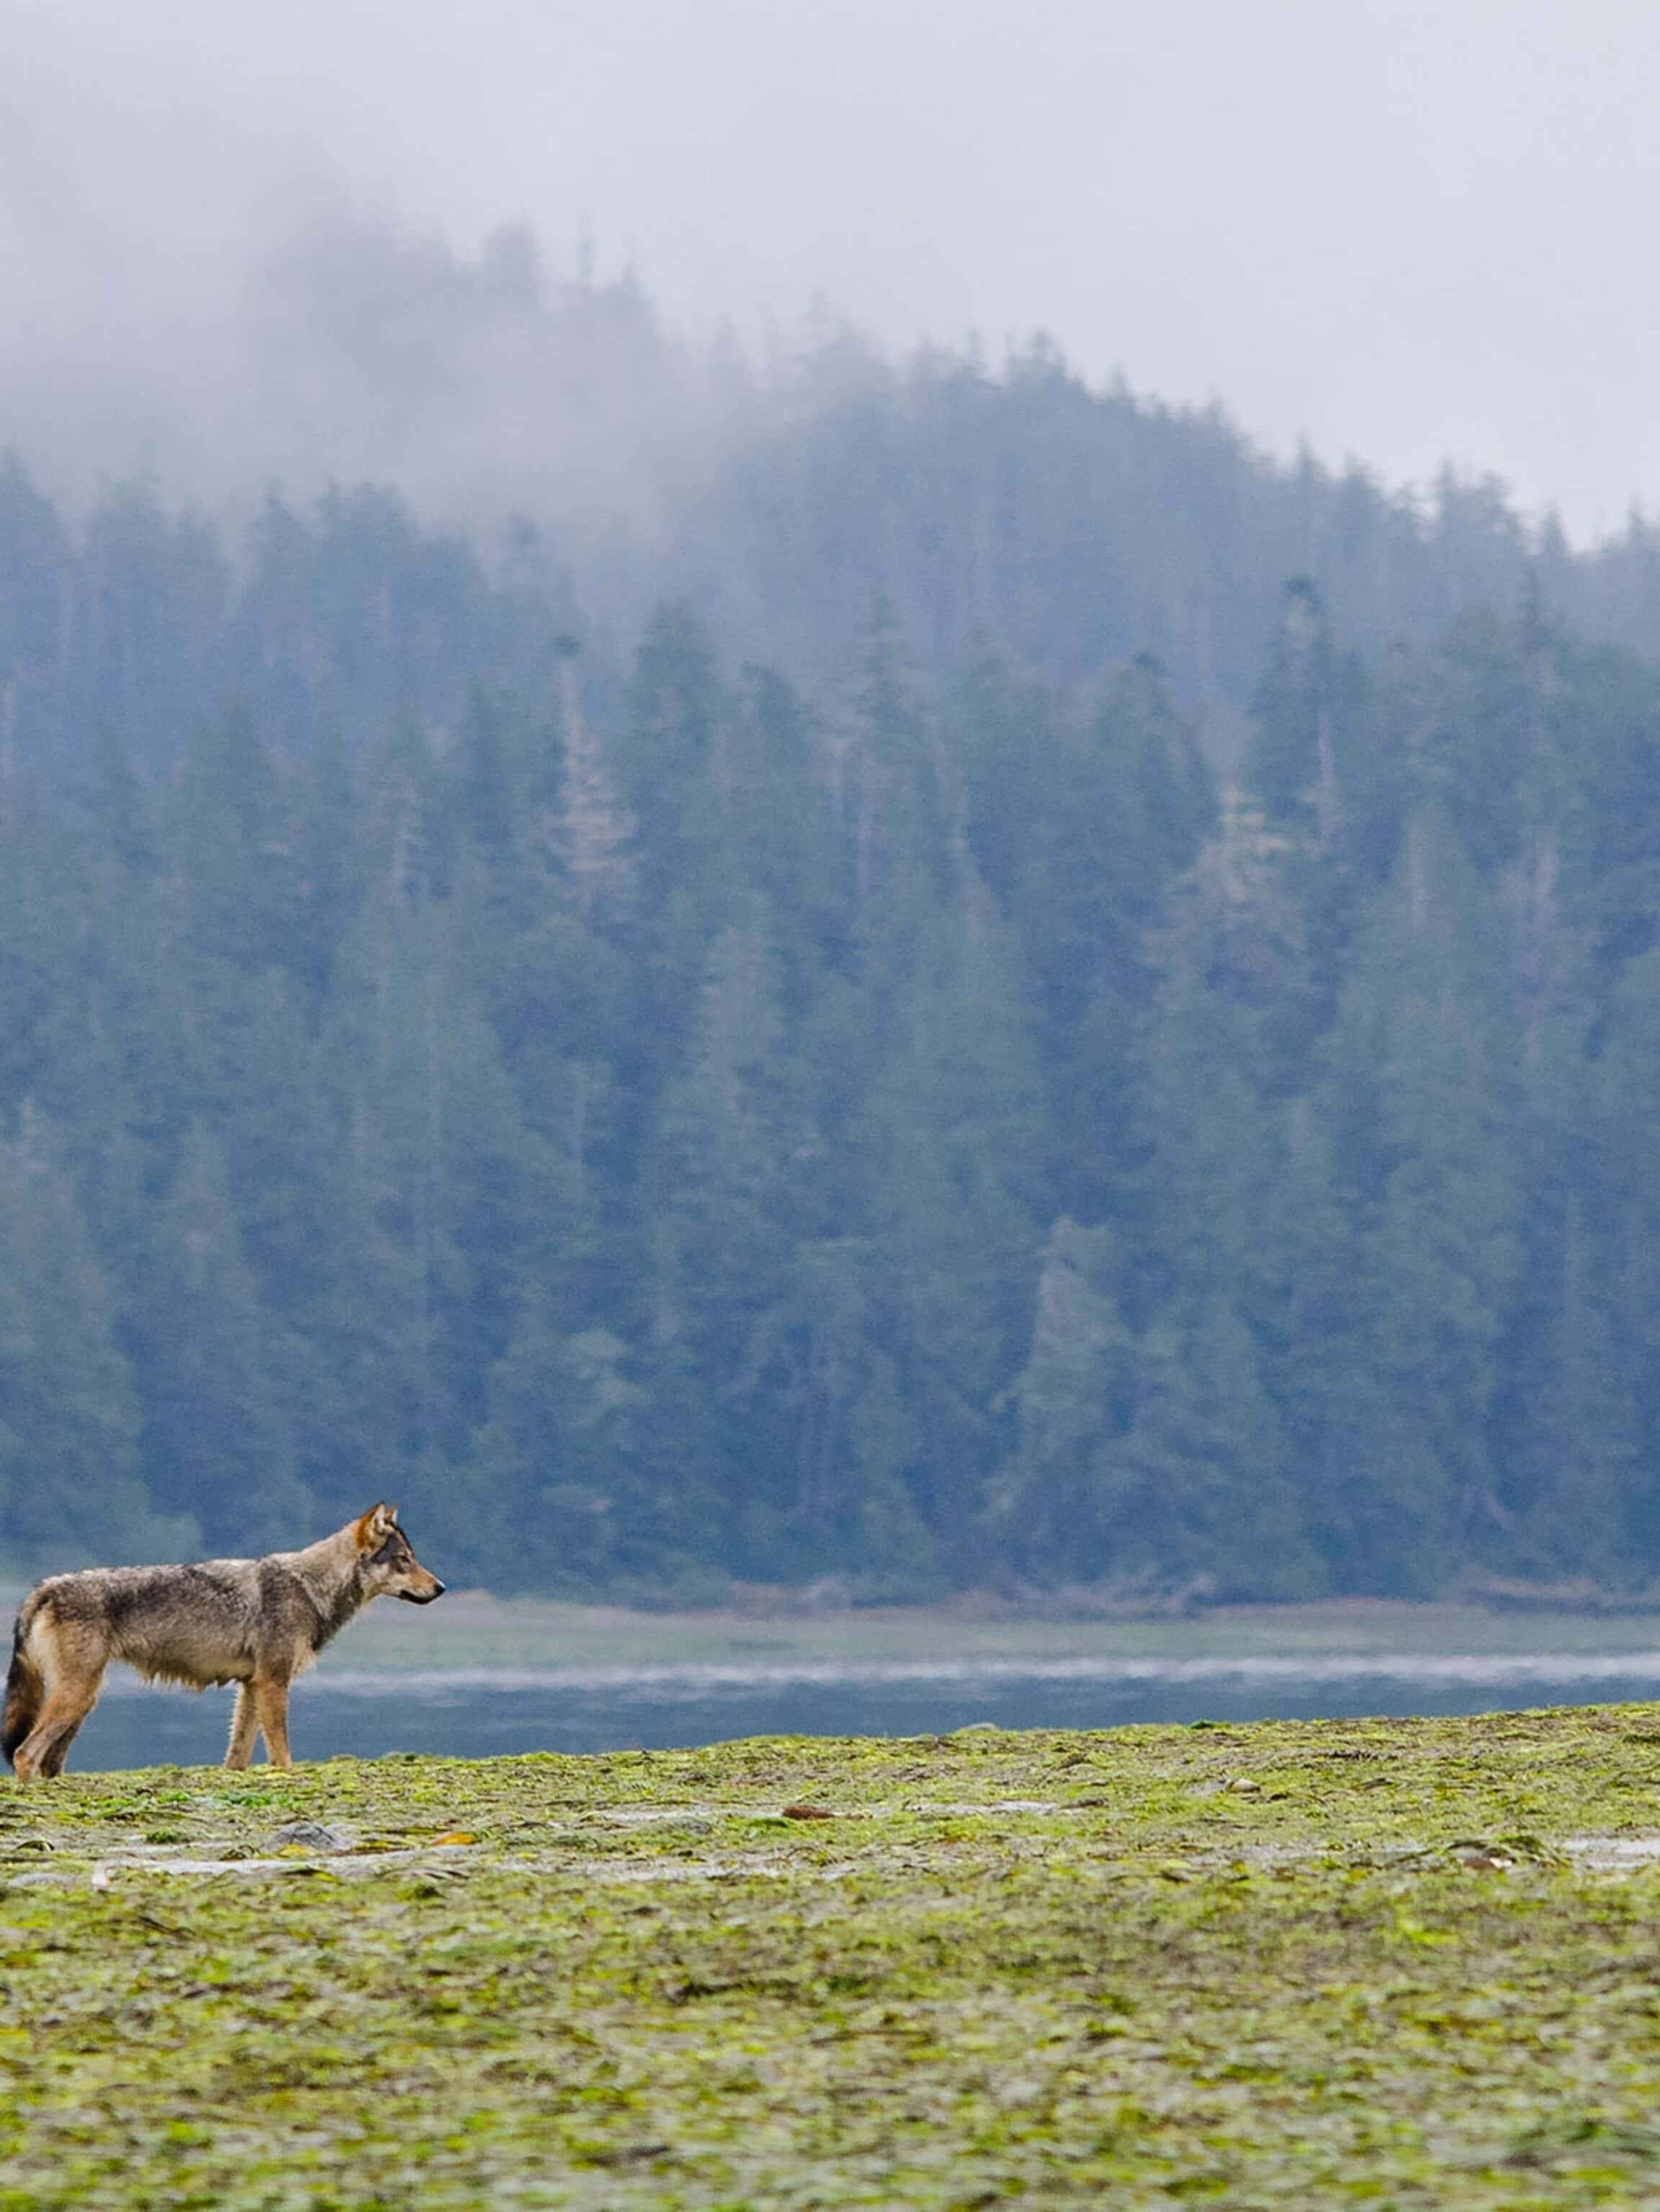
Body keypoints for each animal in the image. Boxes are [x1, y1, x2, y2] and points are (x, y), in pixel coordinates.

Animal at [1, 1503, 444, 1781]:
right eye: (404, 1560)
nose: (440, 1588)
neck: (308, 1587)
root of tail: (42, 1588)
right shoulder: (273, 1683)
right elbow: (282, 1753)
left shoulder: (251, 1687)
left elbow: (237, 1758)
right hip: (76, 1696)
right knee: (24, 1754)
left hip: (84, 1700)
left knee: (48, 1761)